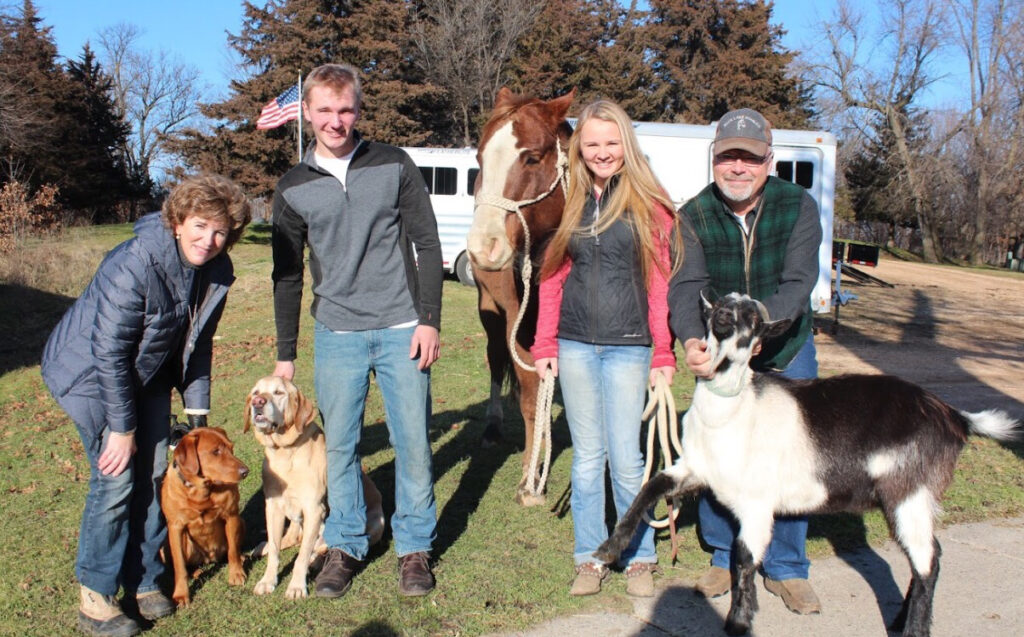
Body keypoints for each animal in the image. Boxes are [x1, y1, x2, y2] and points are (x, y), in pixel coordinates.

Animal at [161, 426, 249, 607]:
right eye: (215, 451)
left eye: (231, 448)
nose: (245, 472)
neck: (201, 492)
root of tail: (208, 559)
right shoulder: (175, 527)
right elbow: (179, 566)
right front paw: (181, 594)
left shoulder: (231, 515)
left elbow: (232, 551)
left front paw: (236, 573)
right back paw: (195, 572)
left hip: (241, 522)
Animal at [244, 375, 385, 599]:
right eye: (256, 393)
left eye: (278, 392)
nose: (257, 403)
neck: (285, 453)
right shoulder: (274, 507)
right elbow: (275, 549)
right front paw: (267, 580)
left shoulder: (314, 509)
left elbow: (301, 556)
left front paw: (296, 586)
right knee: (290, 539)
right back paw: (262, 547)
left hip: (372, 523)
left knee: (318, 548)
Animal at [467, 87, 575, 506]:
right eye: (479, 159)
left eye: (531, 157)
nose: (483, 247)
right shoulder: (523, 331)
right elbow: (531, 398)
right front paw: (530, 480)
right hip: (491, 316)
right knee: (497, 361)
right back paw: (492, 428)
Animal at [595, 292, 1020, 637]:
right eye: (719, 305)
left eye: (753, 319)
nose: (725, 318)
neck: (738, 410)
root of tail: (952, 414)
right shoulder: (695, 469)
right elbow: (650, 487)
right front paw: (608, 549)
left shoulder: (757, 504)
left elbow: (743, 558)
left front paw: (738, 622)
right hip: (907, 499)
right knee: (927, 554)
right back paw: (901, 620)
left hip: (909, 491)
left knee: (928, 560)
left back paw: (913, 628)